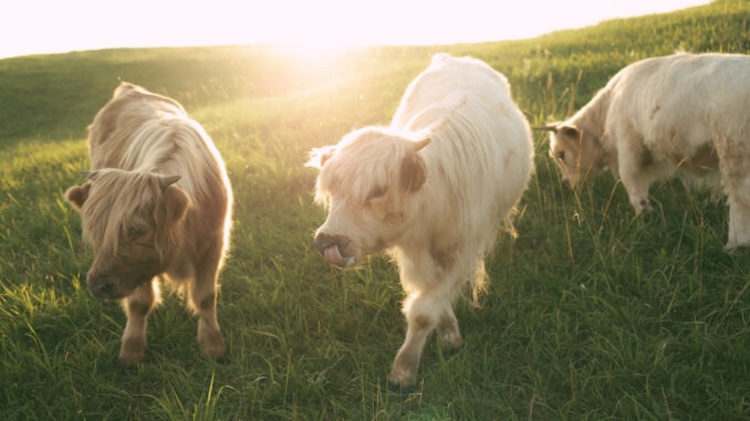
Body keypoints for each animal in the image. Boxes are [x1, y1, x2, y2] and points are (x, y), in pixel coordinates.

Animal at [65, 82, 233, 365]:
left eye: (139, 230)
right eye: (94, 231)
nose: (98, 285)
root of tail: (130, 88)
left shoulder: (214, 243)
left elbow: (205, 297)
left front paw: (213, 347)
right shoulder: (138, 267)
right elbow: (139, 303)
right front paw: (131, 351)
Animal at [307, 53, 534, 388]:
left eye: (378, 190)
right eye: (332, 190)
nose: (327, 241)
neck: (434, 206)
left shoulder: (464, 250)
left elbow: (425, 309)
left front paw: (404, 369)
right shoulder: (415, 253)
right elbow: (430, 297)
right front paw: (447, 333)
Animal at [540, 53, 750, 250]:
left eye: (561, 154)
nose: (566, 185)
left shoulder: (628, 145)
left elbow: (631, 180)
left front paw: (644, 212)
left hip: (735, 152)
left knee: (739, 198)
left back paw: (734, 245)